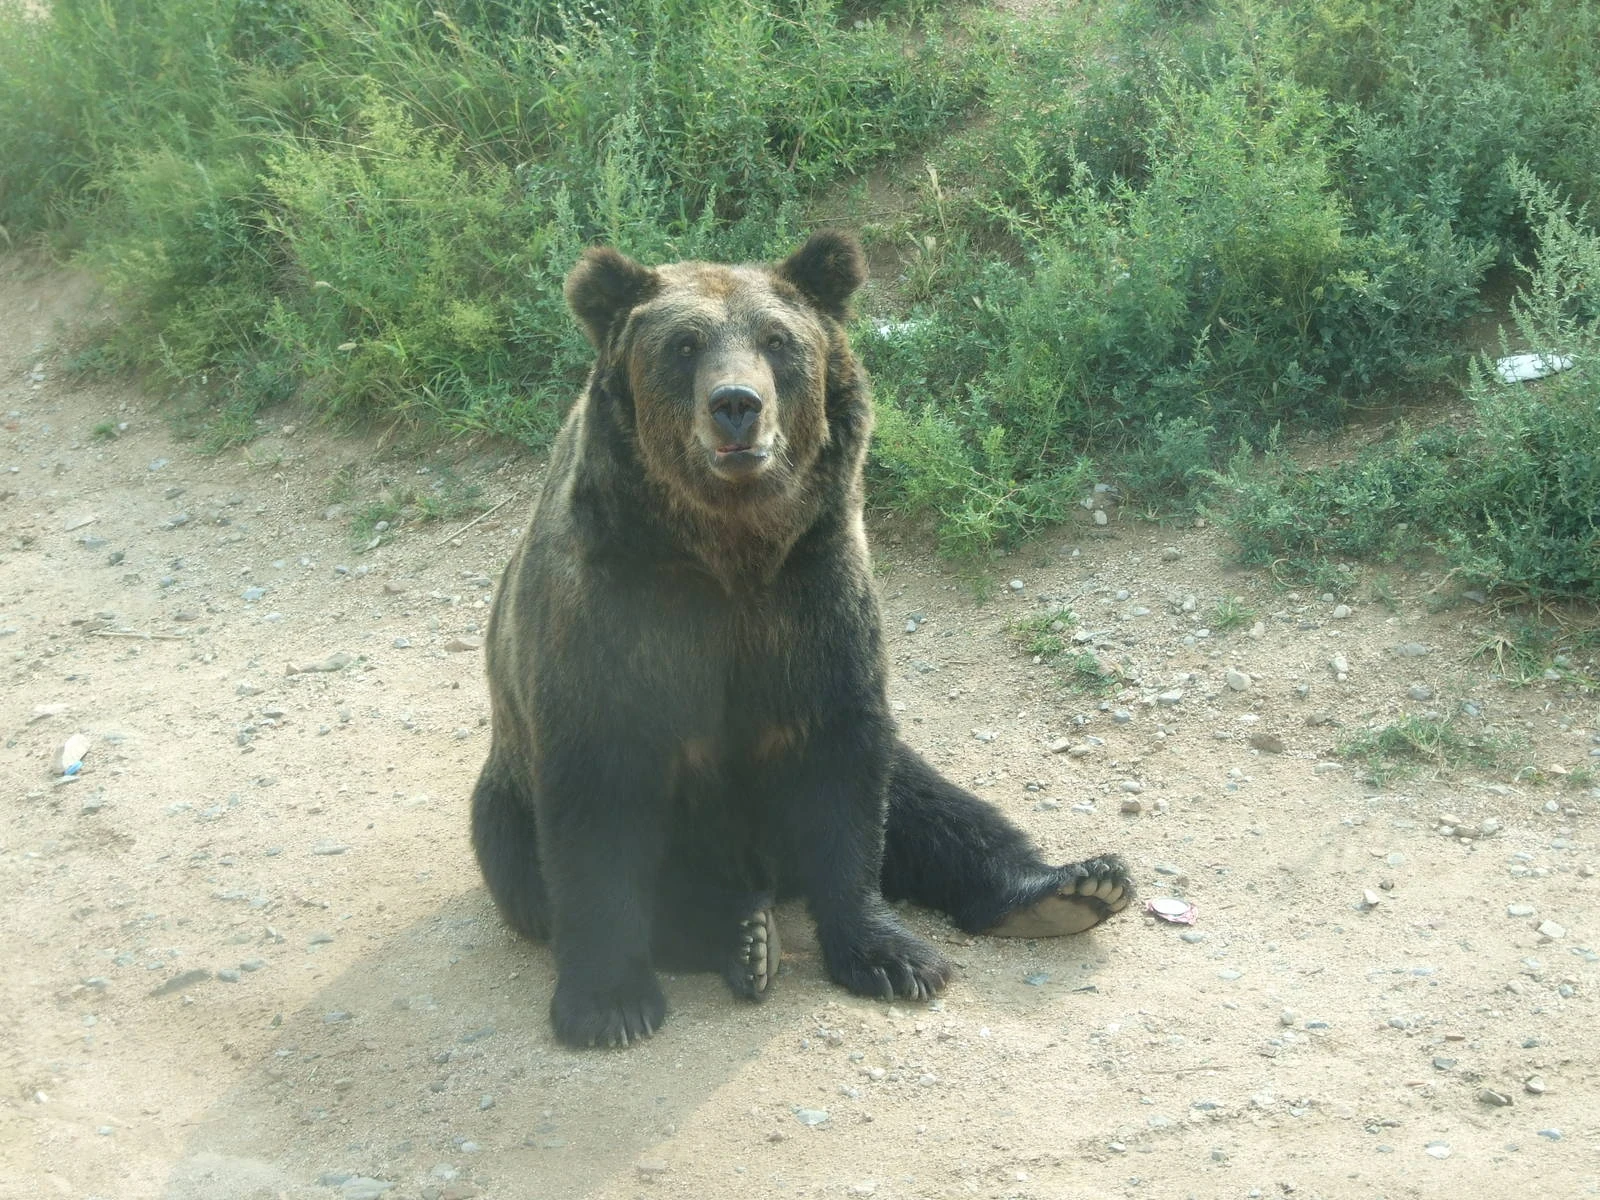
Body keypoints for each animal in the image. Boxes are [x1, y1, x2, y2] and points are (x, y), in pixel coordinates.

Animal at [470, 231, 1133, 1048]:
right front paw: (609, 1003)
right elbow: (598, 801)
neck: (728, 550)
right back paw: (742, 936)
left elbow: (847, 773)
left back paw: (1069, 887)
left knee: (927, 797)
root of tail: (765, 874)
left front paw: (892, 955)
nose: (737, 405)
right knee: (531, 862)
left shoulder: (814, 596)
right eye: (684, 344)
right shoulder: (615, 610)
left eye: (778, 341)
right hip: (510, 795)